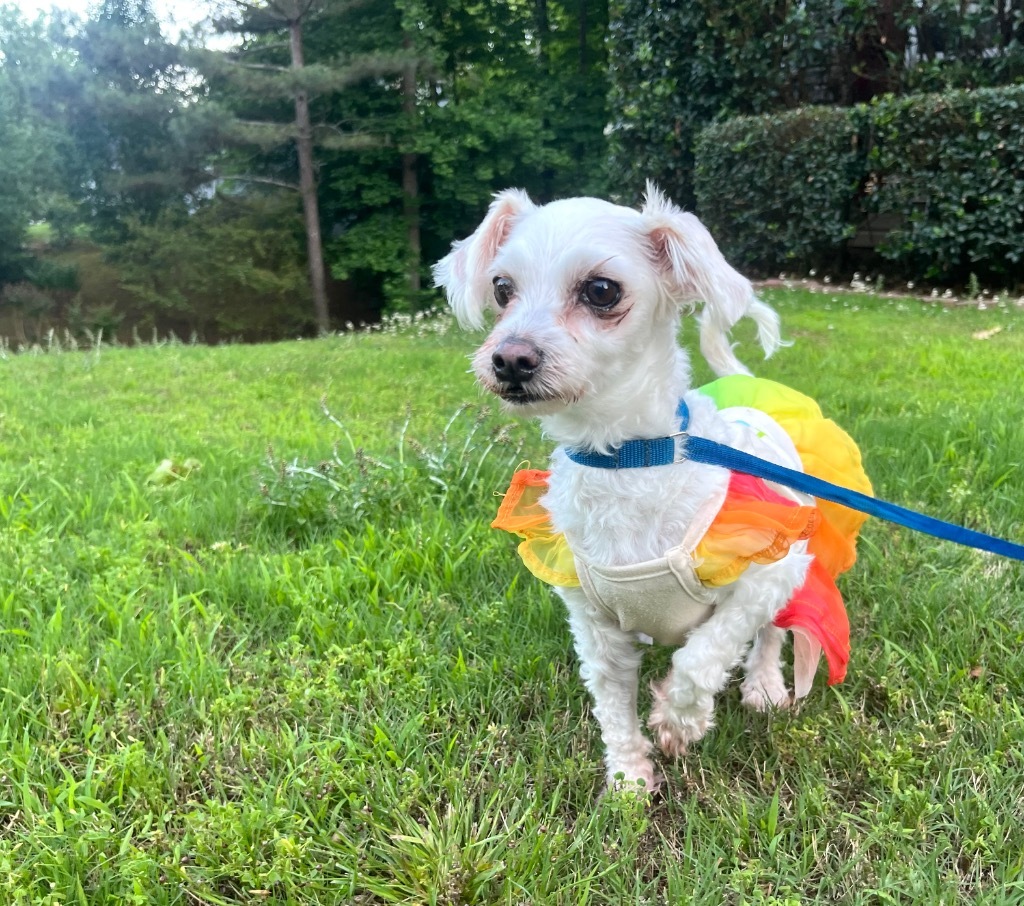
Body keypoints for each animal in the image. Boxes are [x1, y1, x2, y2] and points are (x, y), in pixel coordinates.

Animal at [432, 185, 864, 790]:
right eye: (501, 288)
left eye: (601, 290)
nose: (509, 359)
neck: (626, 460)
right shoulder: (594, 627)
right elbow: (613, 706)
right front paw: (630, 780)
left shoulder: (765, 575)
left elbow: (705, 654)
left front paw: (679, 721)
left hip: (794, 555)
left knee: (772, 633)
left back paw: (763, 684)